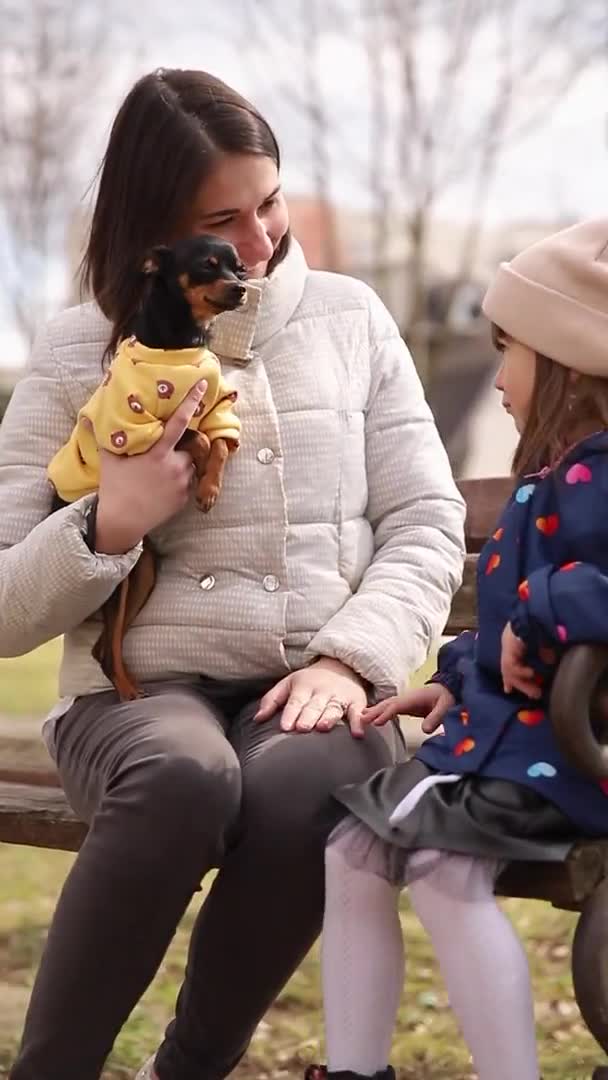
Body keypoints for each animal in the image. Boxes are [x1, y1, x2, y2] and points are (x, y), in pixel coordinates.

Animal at [47, 234, 247, 699]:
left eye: (240, 268)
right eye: (208, 265)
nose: (242, 289)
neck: (182, 342)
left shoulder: (216, 406)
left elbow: (219, 441)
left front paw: (209, 488)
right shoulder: (137, 425)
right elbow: (197, 438)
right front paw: (201, 478)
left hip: (143, 572)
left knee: (104, 645)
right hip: (115, 571)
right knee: (107, 646)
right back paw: (127, 692)